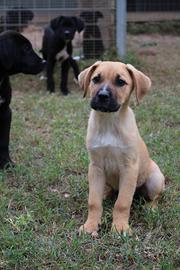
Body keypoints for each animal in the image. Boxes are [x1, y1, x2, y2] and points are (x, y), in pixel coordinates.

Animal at [78, 60, 165, 234]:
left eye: (120, 82)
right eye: (96, 79)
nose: (102, 96)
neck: (108, 122)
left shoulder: (129, 168)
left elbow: (122, 203)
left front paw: (120, 228)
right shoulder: (96, 167)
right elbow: (93, 201)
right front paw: (90, 225)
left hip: (155, 179)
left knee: (154, 197)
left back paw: (150, 208)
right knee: (109, 191)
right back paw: (105, 193)